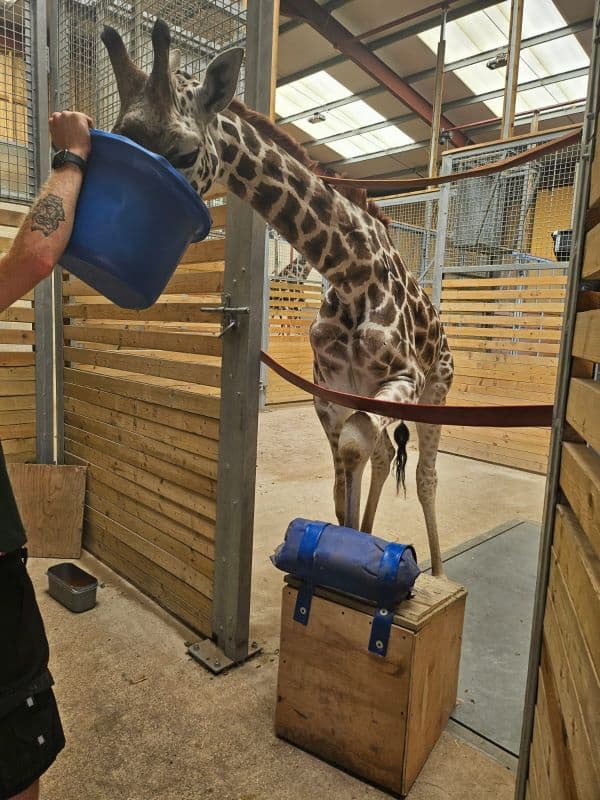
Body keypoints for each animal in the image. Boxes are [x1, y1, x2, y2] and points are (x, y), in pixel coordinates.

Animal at [101, 18, 452, 576]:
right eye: (116, 137)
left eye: (183, 153)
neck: (350, 270)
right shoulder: (330, 393)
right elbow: (345, 476)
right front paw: (345, 547)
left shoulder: (403, 378)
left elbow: (357, 445)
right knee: (381, 456)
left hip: (437, 390)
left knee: (424, 475)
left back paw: (438, 573)